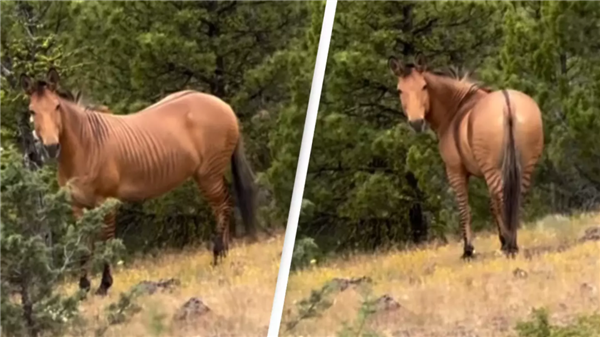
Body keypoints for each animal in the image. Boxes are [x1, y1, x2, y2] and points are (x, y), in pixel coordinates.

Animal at [19, 68, 255, 294]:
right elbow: (83, 246)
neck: (86, 145)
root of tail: (224, 105)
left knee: (223, 206)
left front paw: (104, 285)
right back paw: (223, 254)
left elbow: (107, 240)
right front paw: (84, 286)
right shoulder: (77, 206)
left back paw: (217, 255)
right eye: (32, 111)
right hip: (209, 175)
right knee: (222, 206)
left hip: (208, 175)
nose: (51, 147)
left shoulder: (106, 202)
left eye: (57, 107)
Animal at [386, 53, 548, 258]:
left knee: (502, 197)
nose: (416, 123)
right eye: (400, 90)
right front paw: (502, 240)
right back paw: (512, 243)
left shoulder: (456, 172)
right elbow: (492, 205)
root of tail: (507, 103)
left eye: (424, 86)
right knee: (515, 198)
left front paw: (468, 249)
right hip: (523, 167)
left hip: (492, 169)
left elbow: (464, 208)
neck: (455, 110)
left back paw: (510, 245)